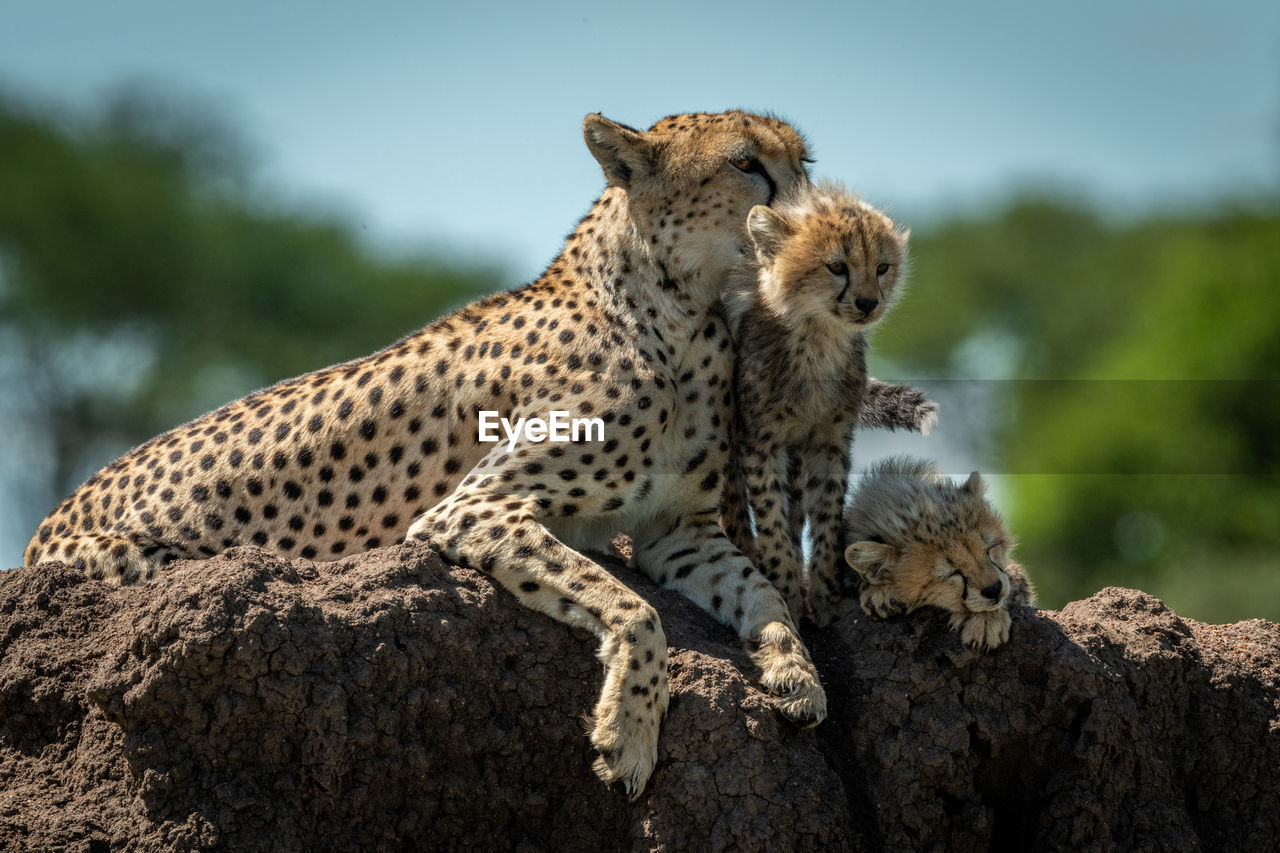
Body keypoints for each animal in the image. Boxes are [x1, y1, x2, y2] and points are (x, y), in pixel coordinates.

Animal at [30, 109, 834, 794]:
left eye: (804, 162)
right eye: (746, 164)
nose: (815, 232)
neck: (683, 314)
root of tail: (48, 522)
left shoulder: (677, 531)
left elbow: (762, 592)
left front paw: (796, 675)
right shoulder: (472, 509)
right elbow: (633, 608)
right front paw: (628, 736)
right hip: (156, 565)